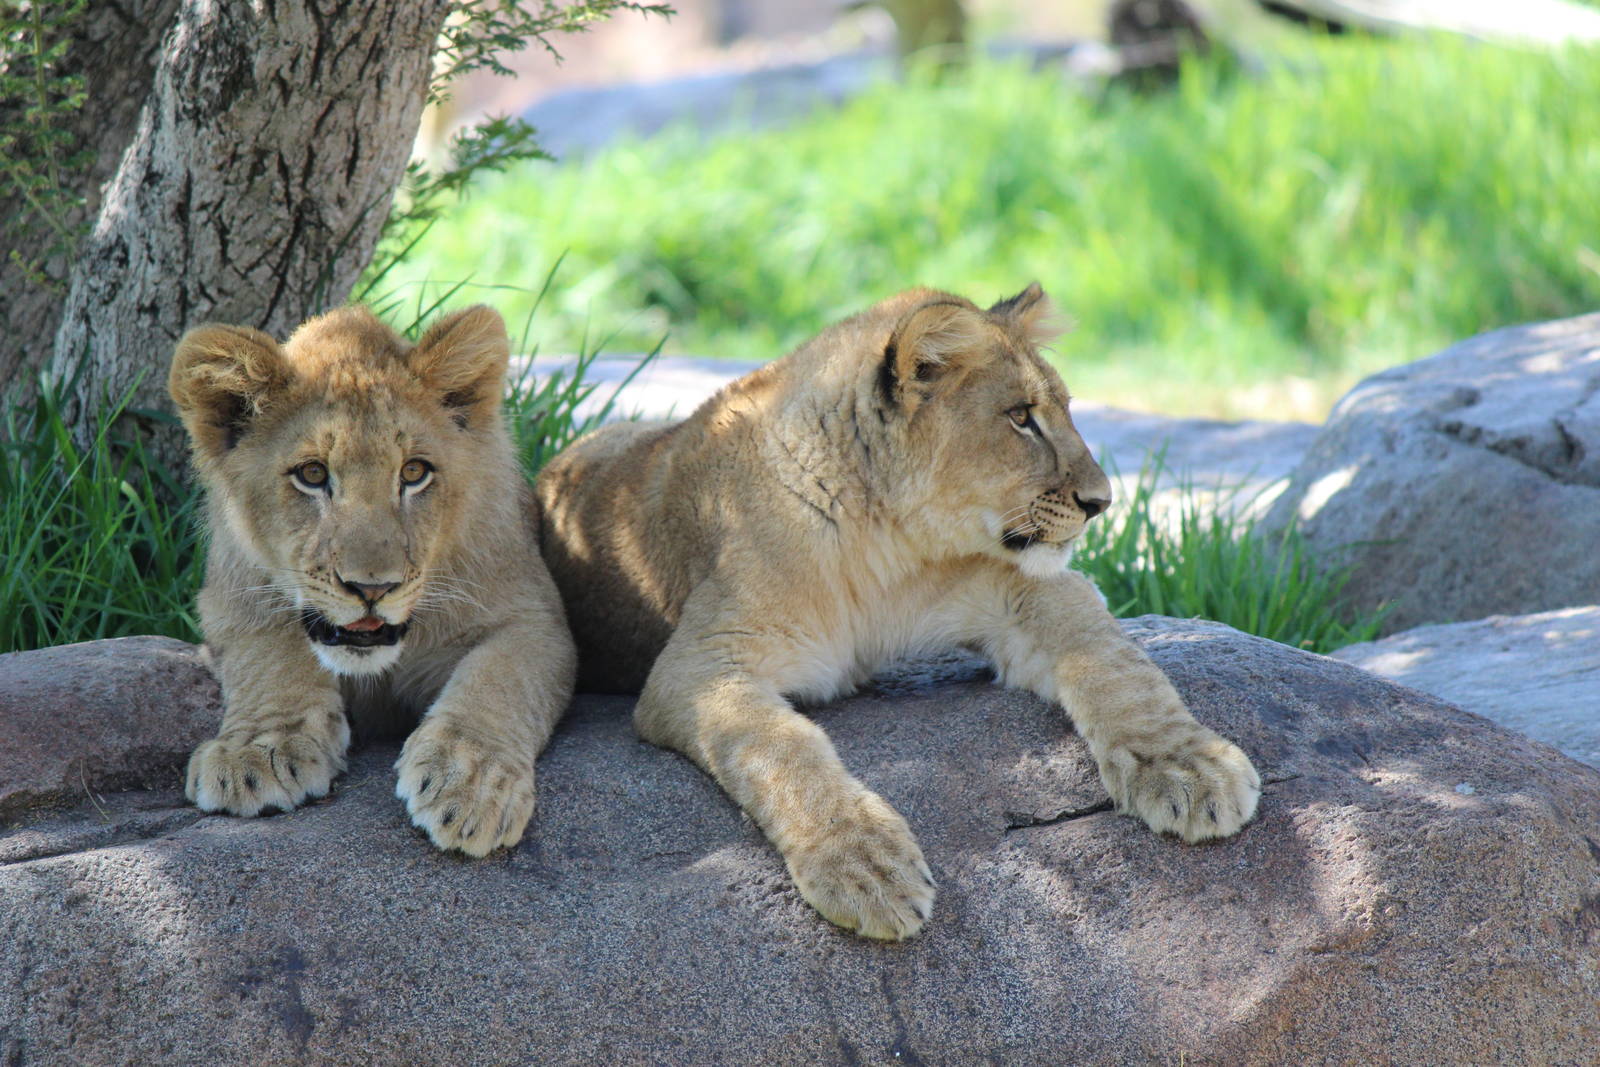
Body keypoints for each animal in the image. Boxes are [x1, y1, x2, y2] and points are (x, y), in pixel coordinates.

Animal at [168, 305, 576, 857]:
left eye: (415, 472)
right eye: (312, 474)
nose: (372, 589)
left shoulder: (535, 617)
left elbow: (498, 681)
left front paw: (471, 781)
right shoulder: (228, 602)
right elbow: (269, 657)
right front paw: (258, 750)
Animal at [536, 283, 1260, 939]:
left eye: (1064, 410)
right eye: (1020, 416)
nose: (1102, 502)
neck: (882, 539)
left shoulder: (1026, 588)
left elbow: (1115, 665)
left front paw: (1189, 769)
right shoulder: (698, 666)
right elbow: (781, 747)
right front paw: (864, 867)